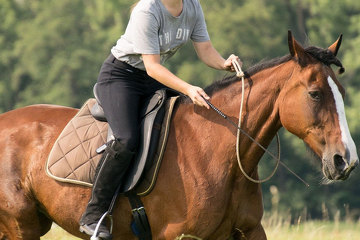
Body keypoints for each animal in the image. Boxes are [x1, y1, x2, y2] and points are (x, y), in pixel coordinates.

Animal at [0, 32, 358, 240]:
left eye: (341, 92)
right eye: (315, 94)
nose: (346, 161)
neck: (218, 152)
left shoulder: (249, 231)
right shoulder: (179, 236)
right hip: (21, 226)